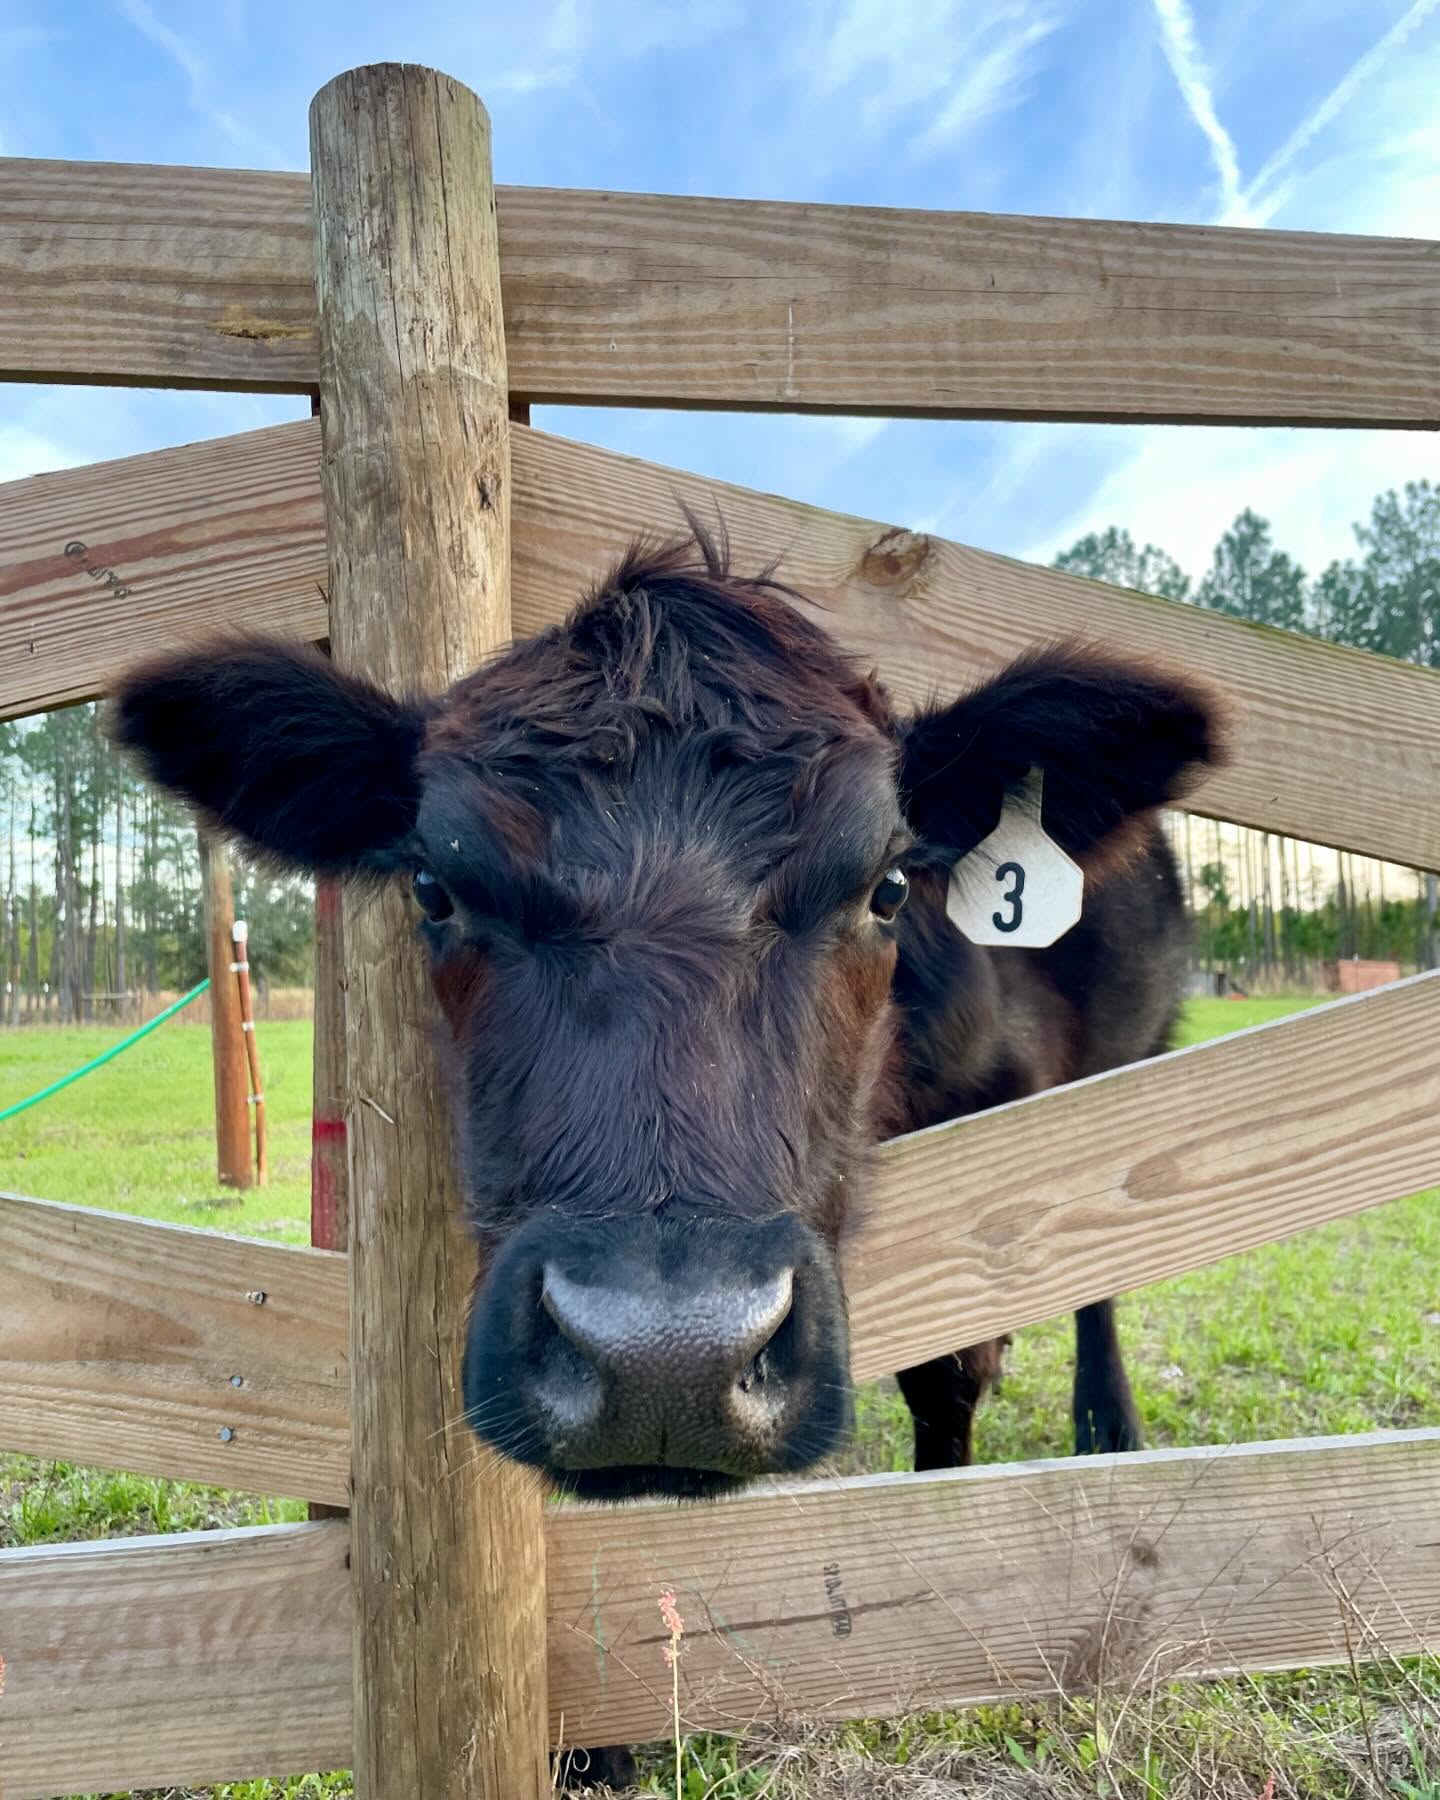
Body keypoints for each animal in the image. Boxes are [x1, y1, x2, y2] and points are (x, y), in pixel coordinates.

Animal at [114, 527, 1223, 1789]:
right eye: (437, 886)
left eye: (888, 885)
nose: (668, 1358)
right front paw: (601, 1745)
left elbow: (955, 1363)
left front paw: (932, 1537)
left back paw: (1107, 1426)